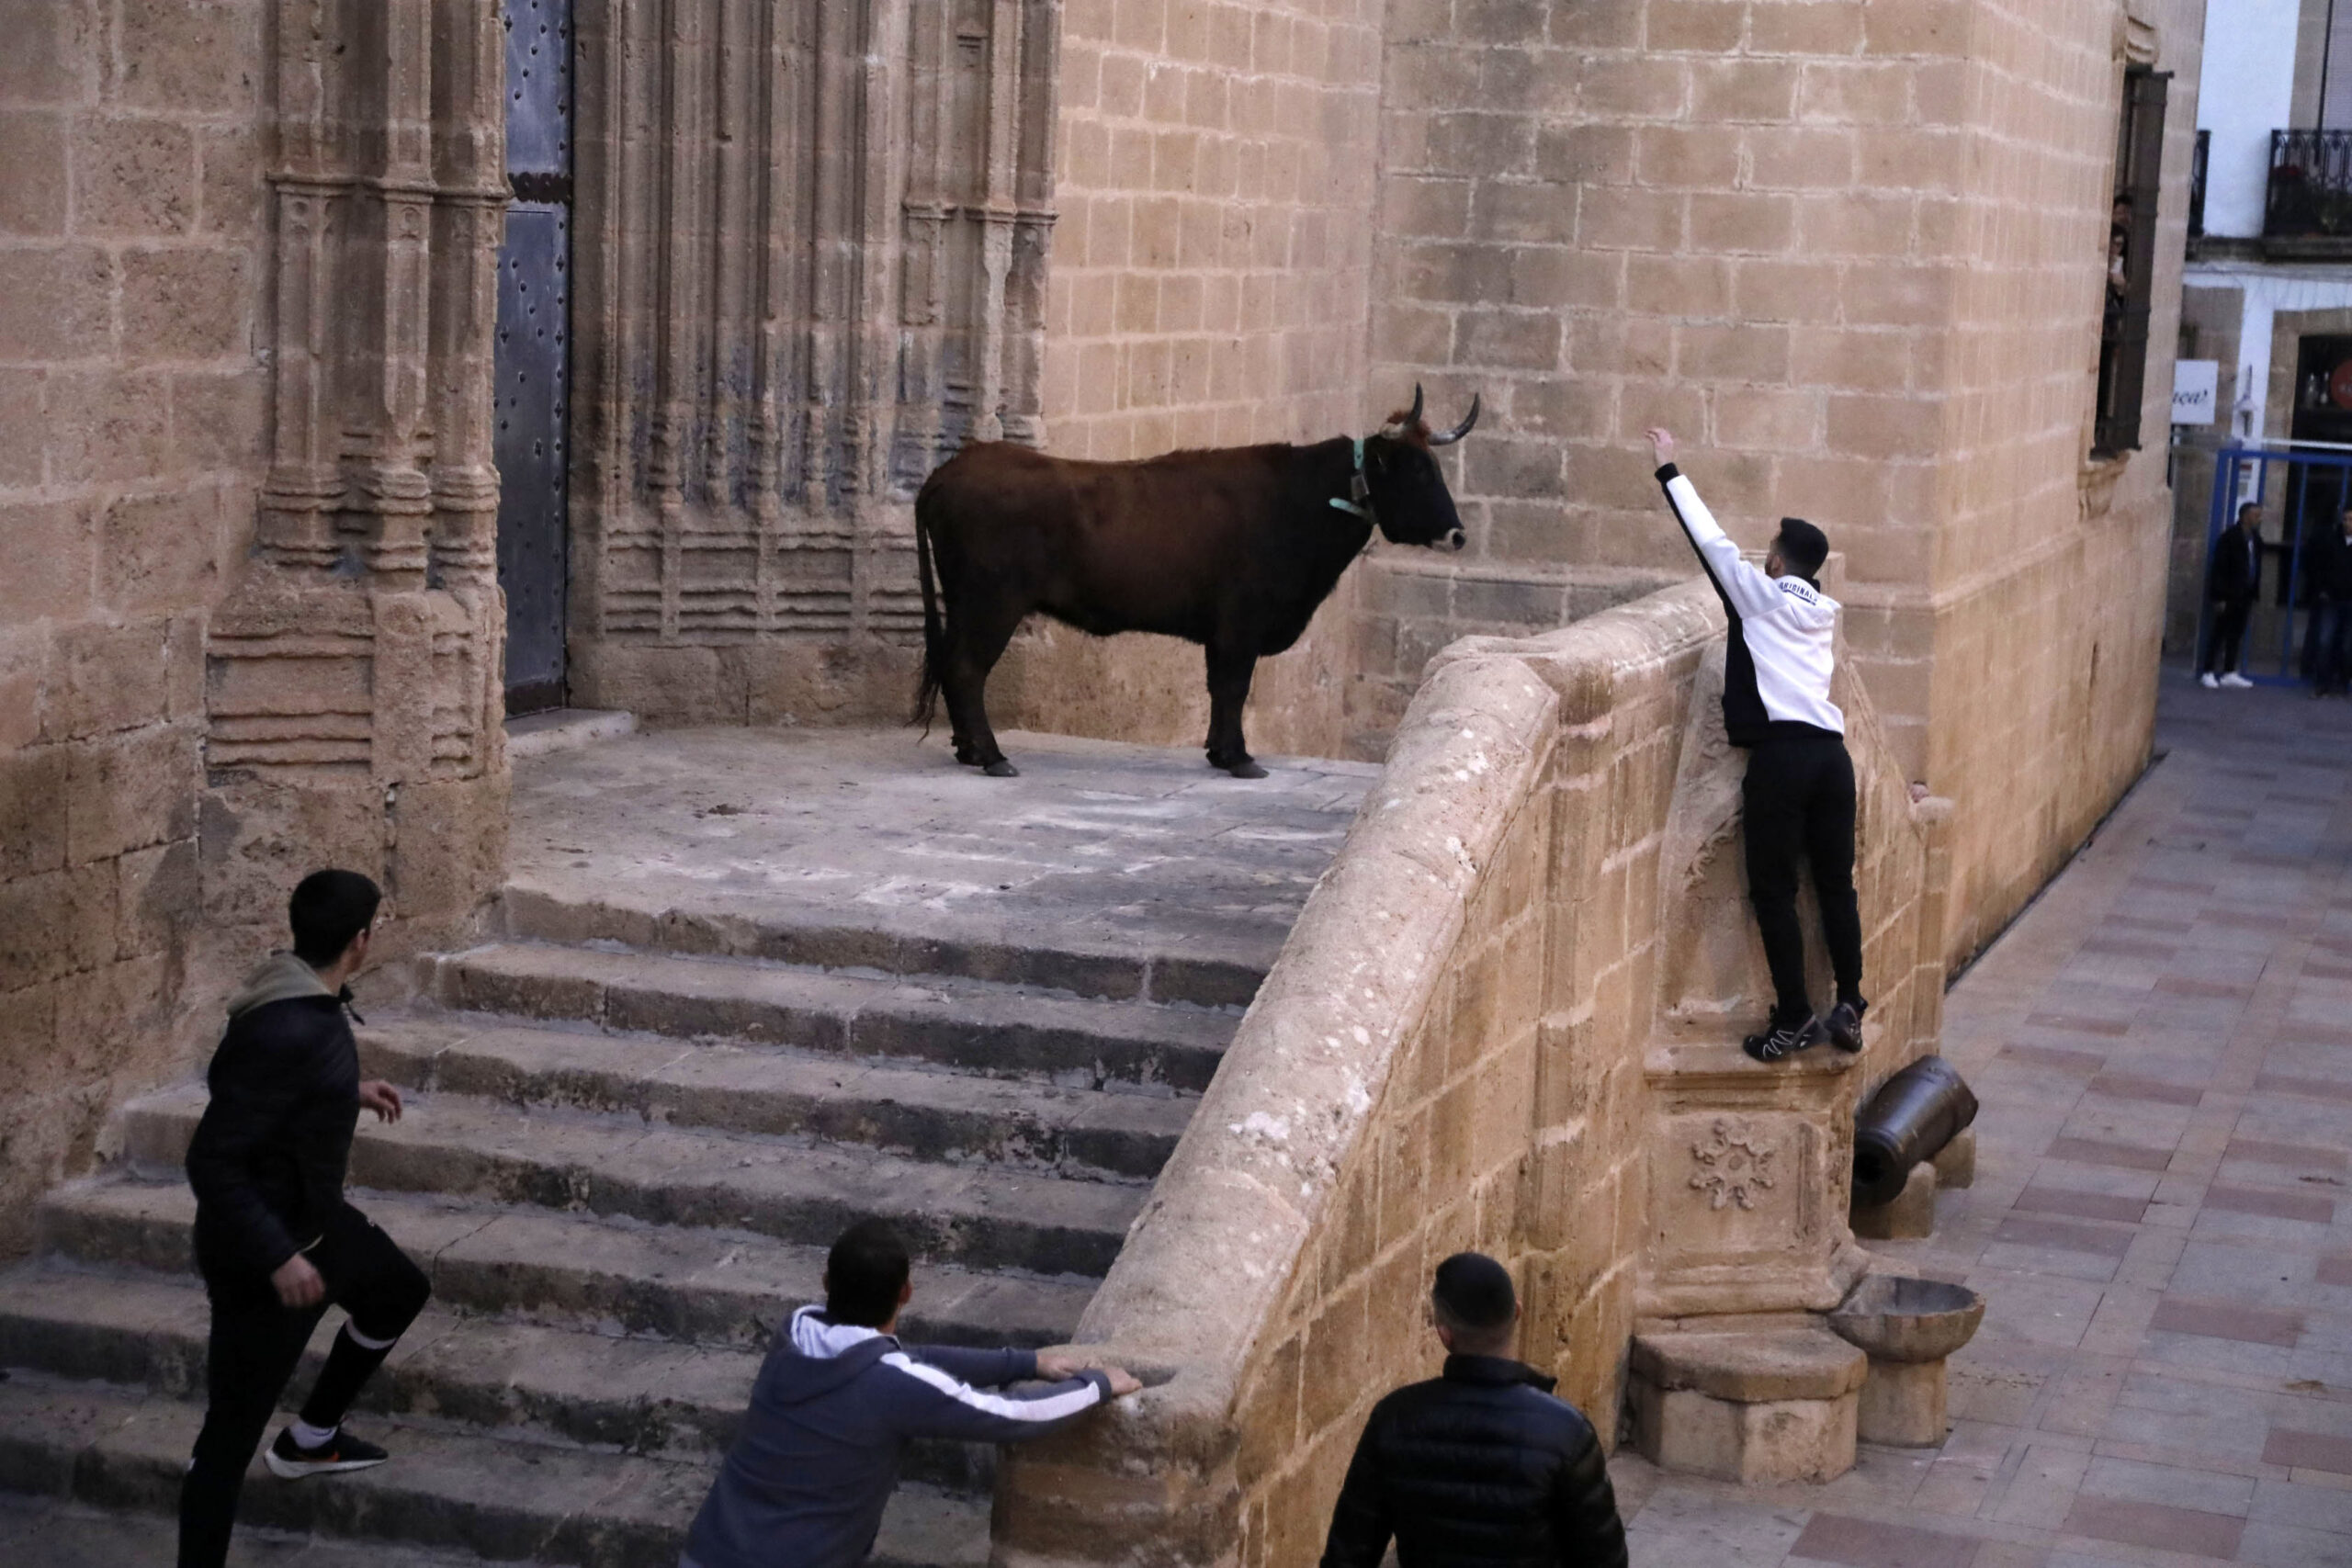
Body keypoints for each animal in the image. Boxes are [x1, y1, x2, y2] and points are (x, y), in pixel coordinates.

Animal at [912, 389, 1476, 780]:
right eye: (1416, 470)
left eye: (1434, 466)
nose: (1458, 535)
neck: (1299, 500)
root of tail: (951, 470)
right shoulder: (1240, 626)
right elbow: (1232, 687)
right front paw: (1239, 758)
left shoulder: (1223, 632)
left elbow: (1219, 688)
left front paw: (1221, 752)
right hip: (991, 604)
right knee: (966, 669)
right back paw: (991, 755)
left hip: (965, 604)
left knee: (953, 664)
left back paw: (969, 749)